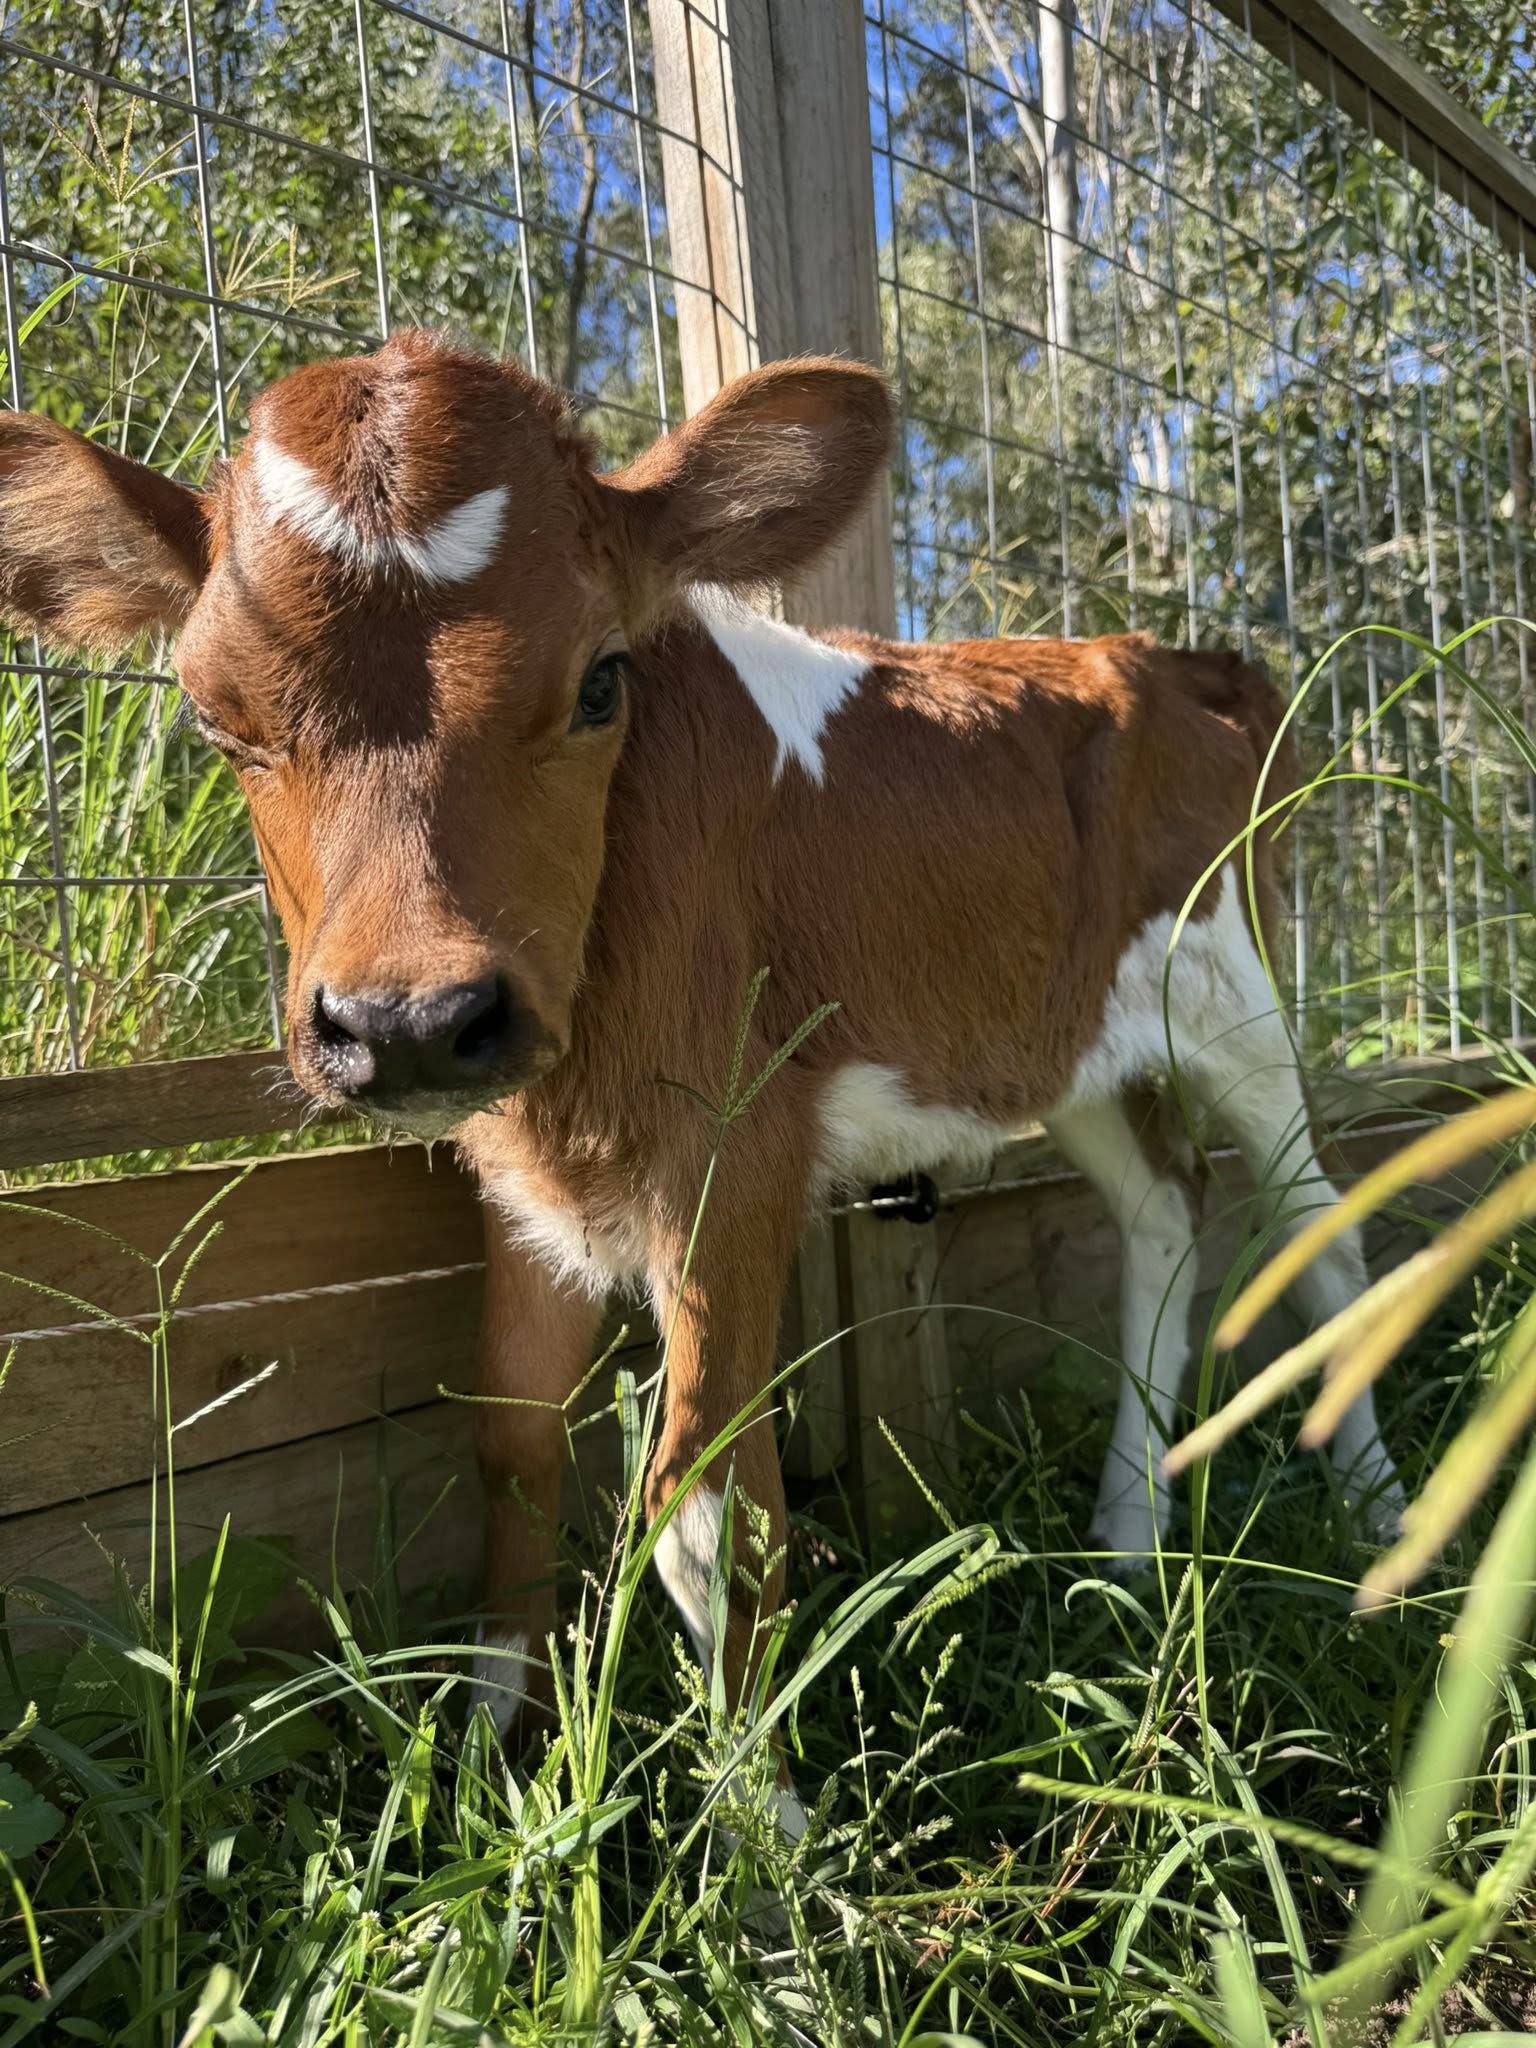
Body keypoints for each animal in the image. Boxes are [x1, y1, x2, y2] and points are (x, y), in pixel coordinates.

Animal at [0, 331, 1402, 1798]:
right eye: (215, 721)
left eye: (601, 680)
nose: (410, 1021)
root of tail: (1175, 656)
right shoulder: (527, 1171)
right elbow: (512, 1440)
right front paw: (495, 1752)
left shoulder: (737, 1144)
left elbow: (707, 1500)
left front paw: (760, 1830)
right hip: (1065, 1049)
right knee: (1164, 1210)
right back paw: (1129, 1539)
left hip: (1241, 997)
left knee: (1322, 1227)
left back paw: (1376, 1522)